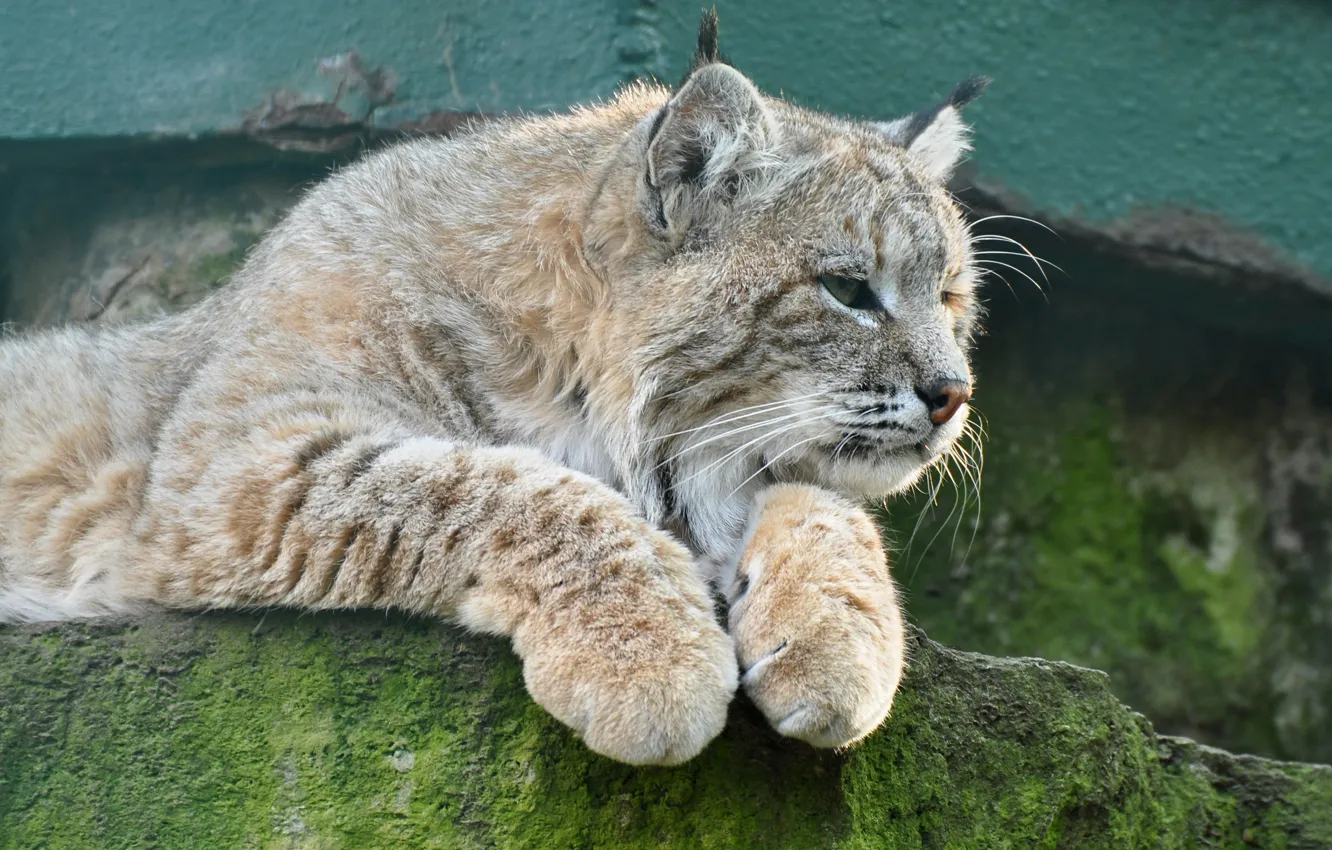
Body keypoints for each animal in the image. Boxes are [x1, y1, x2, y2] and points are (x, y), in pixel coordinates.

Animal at [0, 12, 986, 765]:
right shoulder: (228, 472)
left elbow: (825, 501)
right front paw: (648, 656)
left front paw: (836, 639)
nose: (954, 395)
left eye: (948, 296)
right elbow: (492, 487)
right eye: (849, 290)